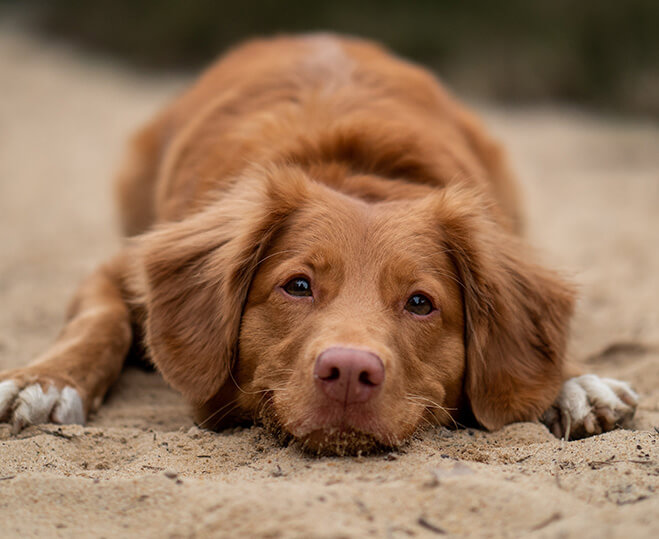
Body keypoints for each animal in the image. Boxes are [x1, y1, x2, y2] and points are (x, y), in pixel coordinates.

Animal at [0, 34, 640, 456]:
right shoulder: (121, 266)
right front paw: (46, 381)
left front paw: (575, 381)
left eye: (420, 303)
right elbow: (99, 321)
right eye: (298, 285)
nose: (350, 371)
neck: (356, 173)